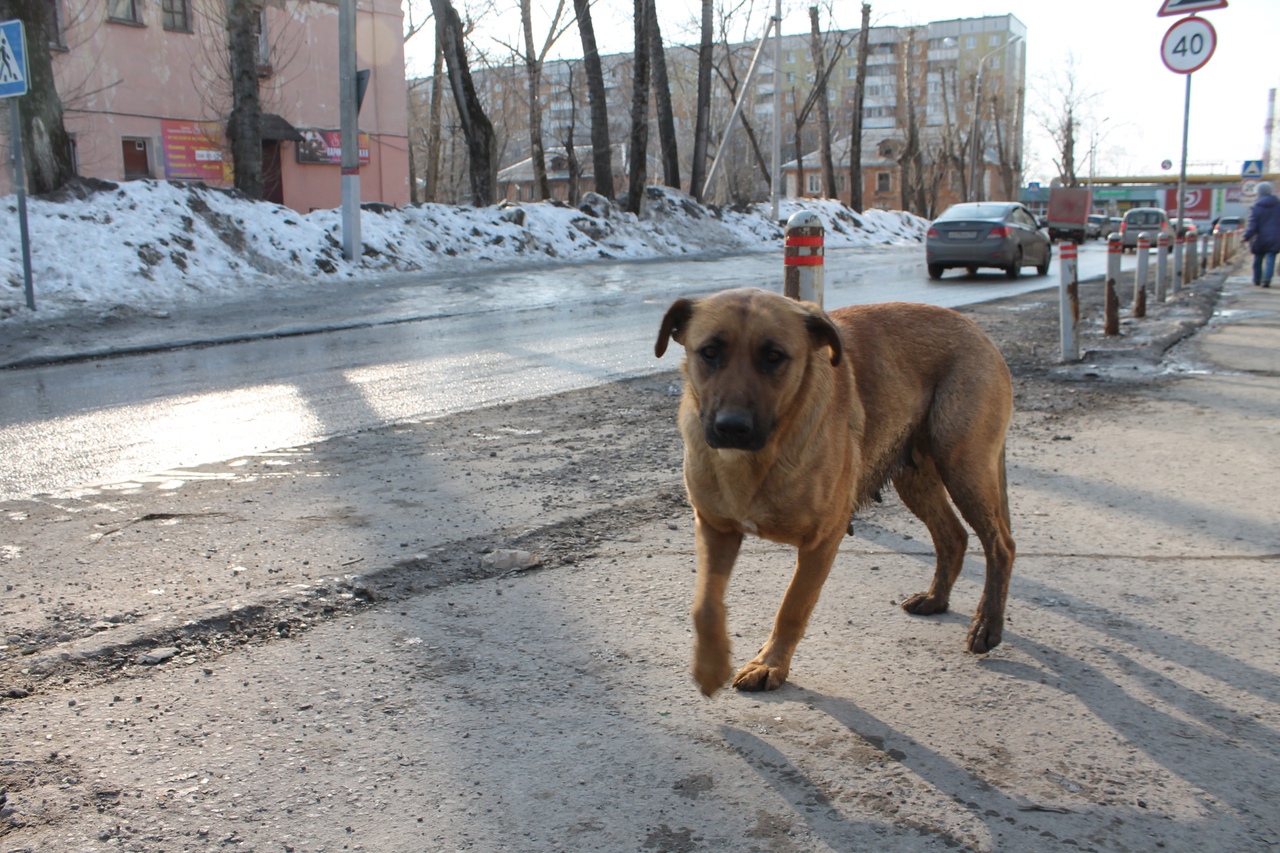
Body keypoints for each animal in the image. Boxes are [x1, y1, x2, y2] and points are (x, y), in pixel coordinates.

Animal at [655, 289, 1013, 696]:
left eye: (774, 356)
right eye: (710, 352)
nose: (732, 427)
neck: (759, 460)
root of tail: (976, 330)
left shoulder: (822, 540)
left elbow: (793, 606)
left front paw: (770, 663)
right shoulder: (715, 528)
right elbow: (705, 603)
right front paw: (710, 665)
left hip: (963, 465)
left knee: (1001, 545)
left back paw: (987, 625)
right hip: (915, 477)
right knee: (952, 536)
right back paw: (936, 598)